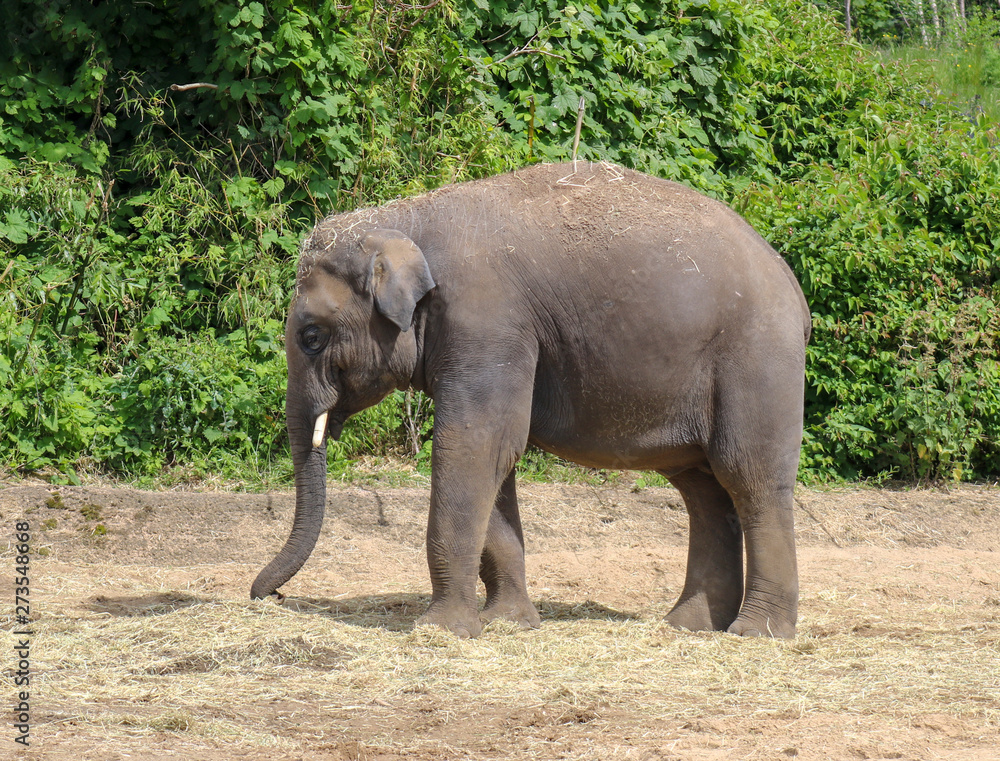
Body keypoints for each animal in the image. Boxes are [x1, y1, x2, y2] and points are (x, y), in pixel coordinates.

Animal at [252, 161, 810, 639]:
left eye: (311, 337)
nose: (268, 596)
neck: (404, 220)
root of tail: (790, 282)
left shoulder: (486, 319)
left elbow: (474, 445)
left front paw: (439, 632)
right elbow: (496, 457)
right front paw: (509, 623)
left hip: (759, 359)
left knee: (748, 475)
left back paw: (756, 632)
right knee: (702, 488)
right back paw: (689, 626)